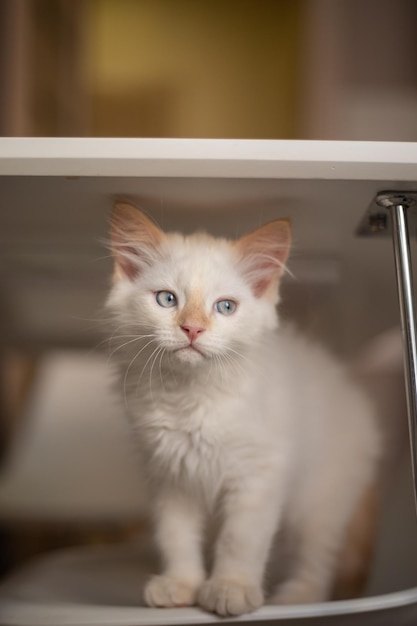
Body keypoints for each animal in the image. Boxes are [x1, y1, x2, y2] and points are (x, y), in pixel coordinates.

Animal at [106, 201, 380, 616]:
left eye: (225, 307)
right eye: (167, 299)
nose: (192, 329)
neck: (192, 396)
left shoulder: (258, 474)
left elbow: (239, 539)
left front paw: (230, 588)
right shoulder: (171, 475)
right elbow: (176, 537)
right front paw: (181, 585)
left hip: (321, 498)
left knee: (317, 559)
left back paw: (297, 598)